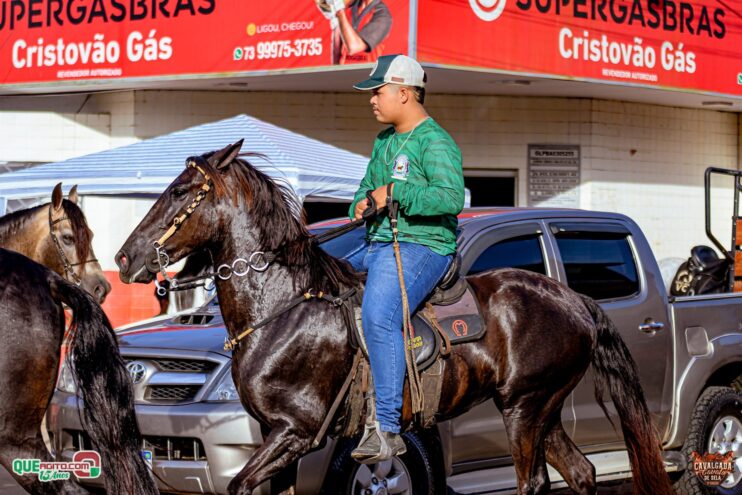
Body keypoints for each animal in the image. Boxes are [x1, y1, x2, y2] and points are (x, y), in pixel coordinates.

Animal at [115, 141, 673, 495]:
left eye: (181, 192)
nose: (125, 257)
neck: (282, 308)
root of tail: (575, 300)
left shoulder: (296, 433)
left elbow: (239, 484)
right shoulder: (280, 440)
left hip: (525, 408)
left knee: (533, 481)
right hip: (546, 409)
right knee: (580, 473)